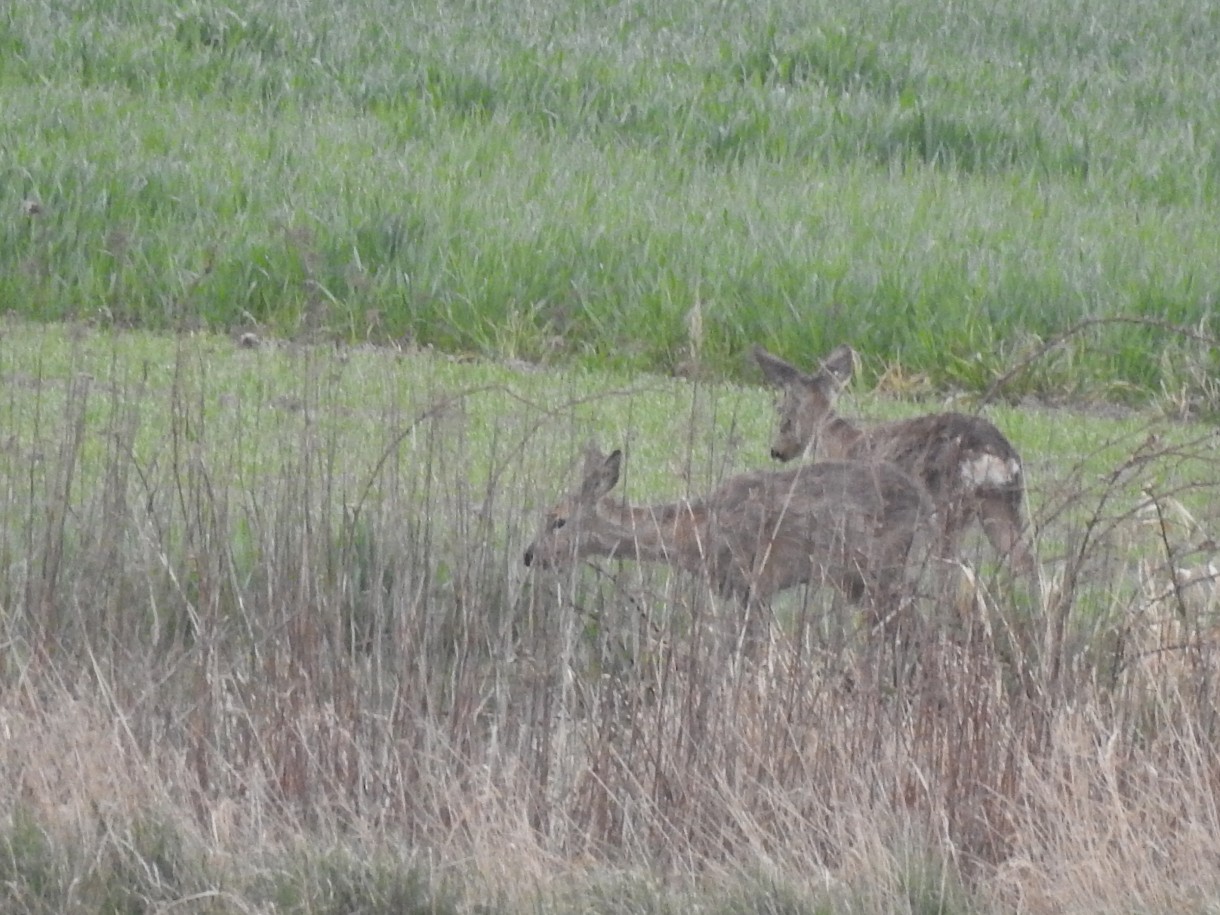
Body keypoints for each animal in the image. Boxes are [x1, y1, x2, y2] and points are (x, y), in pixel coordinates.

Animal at [519, 444, 927, 639]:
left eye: (558, 521)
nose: (529, 555)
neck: (697, 535)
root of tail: (925, 503)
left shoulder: (756, 580)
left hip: (880, 569)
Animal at [751, 346, 1039, 575]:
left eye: (783, 413)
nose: (776, 450)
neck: (842, 443)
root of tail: (997, 453)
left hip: (947, 505)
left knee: (951, 567)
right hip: (1003, 501)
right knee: (1025, 562)